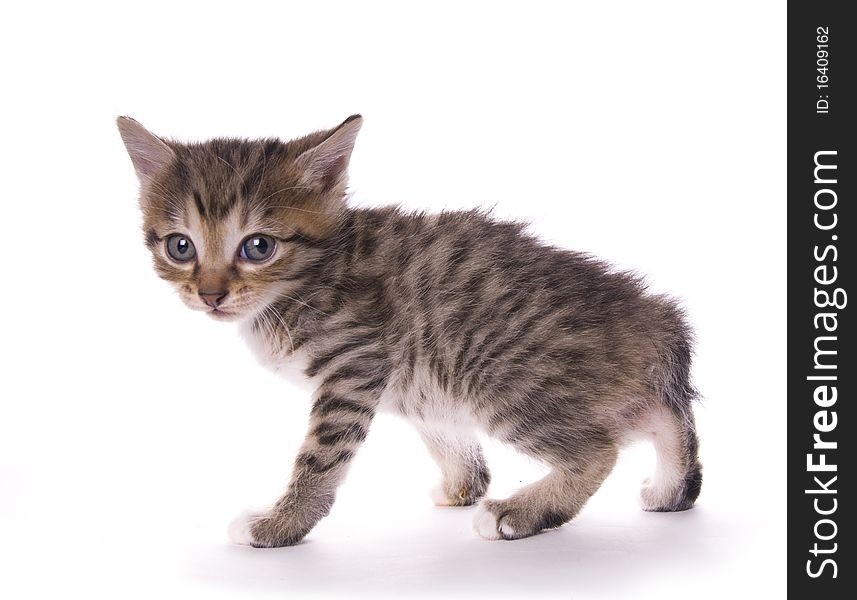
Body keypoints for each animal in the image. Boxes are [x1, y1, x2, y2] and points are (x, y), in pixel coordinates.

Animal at [115, 115, 704, 548]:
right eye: (180, 246)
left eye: (258, 246)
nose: (210, 295)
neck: (302, 283)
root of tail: (650, 314)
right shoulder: (416, 382)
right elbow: (443, 432)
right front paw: (464, 483)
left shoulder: (357, 363)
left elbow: (321, 458)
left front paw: (281, 524)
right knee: (664, 416)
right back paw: (671, 487)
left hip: (502, 378)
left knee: (599, 449)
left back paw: (522, 512)